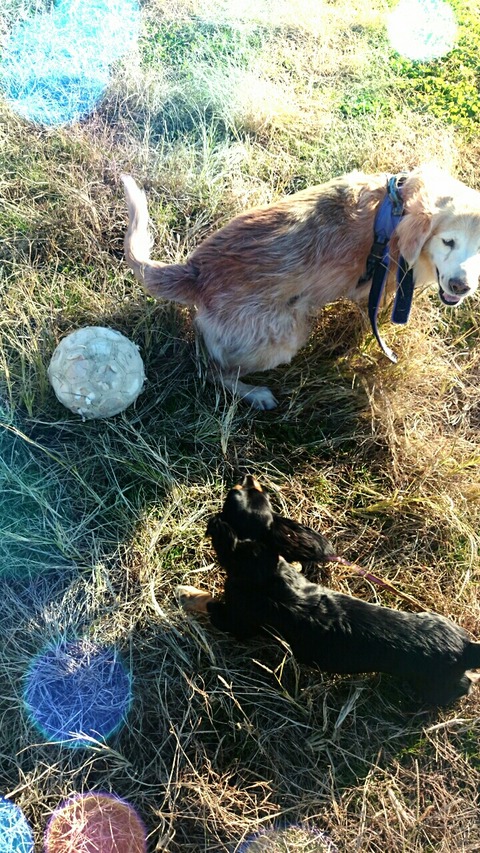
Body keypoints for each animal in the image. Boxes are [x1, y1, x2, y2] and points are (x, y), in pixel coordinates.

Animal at [178, 476, 480, 704]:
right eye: (256, 491)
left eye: (234, 493)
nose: (249, 476)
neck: (263, 564)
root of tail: (466, 647)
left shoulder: (239, 620)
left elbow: (211, 603)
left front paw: (187, 593)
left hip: (433, 684)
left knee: (461, 686)